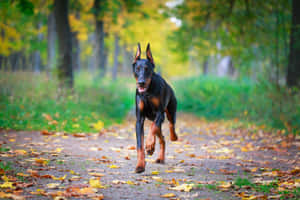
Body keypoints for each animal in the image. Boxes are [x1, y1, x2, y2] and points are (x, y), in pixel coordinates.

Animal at [132, 43, 178, 173]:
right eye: (137, 69)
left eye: (147, 69)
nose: (141, 82)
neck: (147, 93)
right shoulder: (139, 120)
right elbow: (139, 145)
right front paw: (140, 165)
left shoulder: (159, 113)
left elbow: (152, 128)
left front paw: (149, 145)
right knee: (162, 138)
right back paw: (160, 157)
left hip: (170, 111)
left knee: (170, 125)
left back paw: (173, 137)